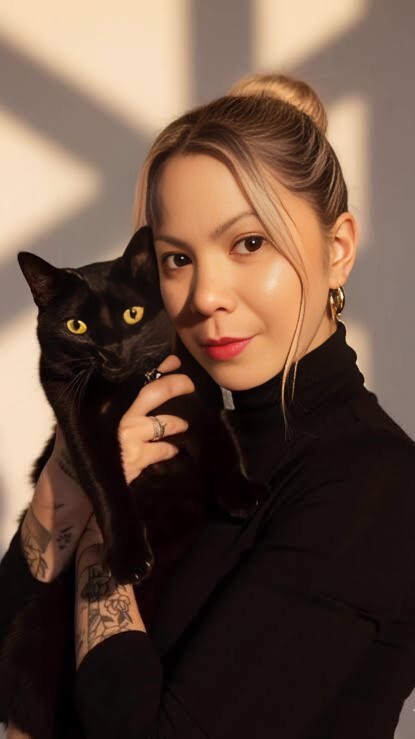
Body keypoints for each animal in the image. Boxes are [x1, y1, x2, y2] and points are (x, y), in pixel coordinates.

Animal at [0, 226, 268, 739]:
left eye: (132, 314)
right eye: (77, 327)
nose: (111, 351)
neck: (127, 389)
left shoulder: (195, 394)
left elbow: (222, 440)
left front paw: (242, 495)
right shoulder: (77, 421)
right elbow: (106, 485)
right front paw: (126, 557)